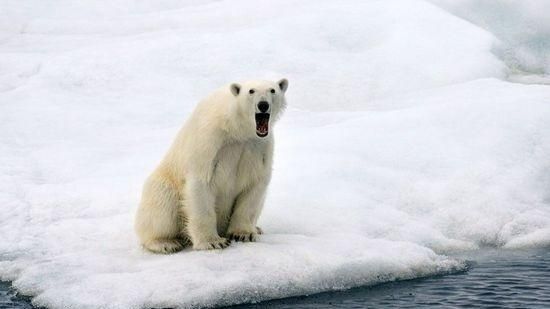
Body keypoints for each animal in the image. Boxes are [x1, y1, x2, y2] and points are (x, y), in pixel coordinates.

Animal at [135, 78, 288, 251]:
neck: (236, 128)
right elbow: (201, 183)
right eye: (251, 91)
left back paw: (257, 228)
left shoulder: (258, 147)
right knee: (162, 203)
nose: (263, 105)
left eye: (272, 90)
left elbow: (255, 186)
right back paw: (166, 243)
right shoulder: (210, 140)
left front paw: (244, 233)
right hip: (164, 182)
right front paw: (213, 242)